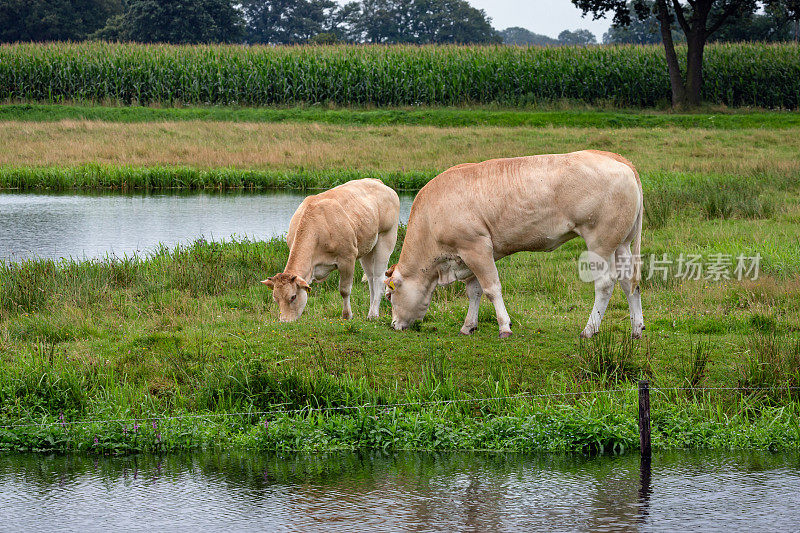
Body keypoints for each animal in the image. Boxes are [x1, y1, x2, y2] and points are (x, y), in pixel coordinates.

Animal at [262, 179, 400, 320]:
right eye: (275, 299)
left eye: (293, 297)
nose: (285, 321)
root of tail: (377, 182)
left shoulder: (347, 258)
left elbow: (344, 290)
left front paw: (347, 315)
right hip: (367, 248)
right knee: (371, 279)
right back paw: (371, 310)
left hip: (386, 238)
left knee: (378, 278)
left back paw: (373, 314)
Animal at [386, 149, 644, 340]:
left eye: (389, 295)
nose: (393, 325)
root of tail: (616, 158)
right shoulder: (468, 255)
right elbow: (474, 291)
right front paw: (468, 326)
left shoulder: (476, 247)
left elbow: (491, 288)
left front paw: (504, 327)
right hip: (622, 244)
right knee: (629, 282)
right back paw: (636, 329)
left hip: (600, 243)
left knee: (605, 284)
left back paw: (589, 329)